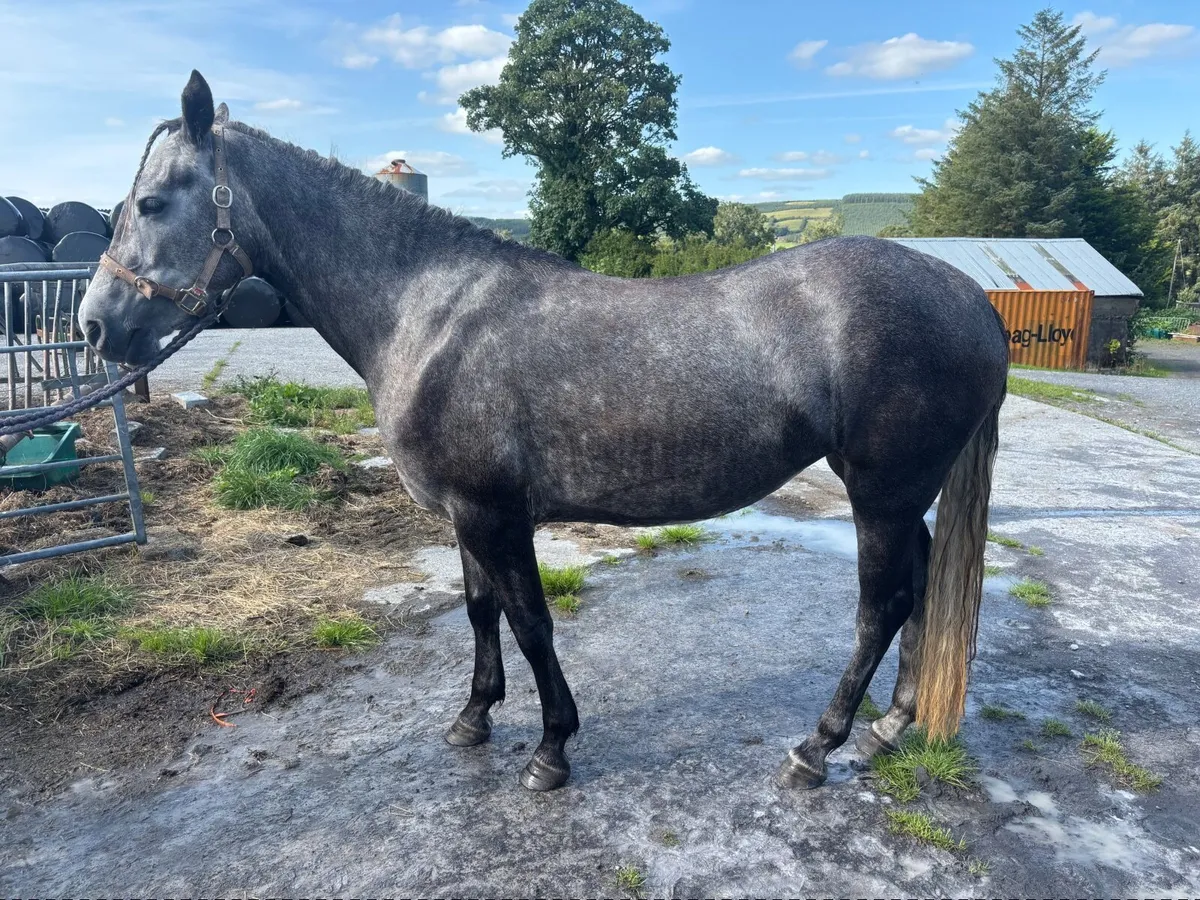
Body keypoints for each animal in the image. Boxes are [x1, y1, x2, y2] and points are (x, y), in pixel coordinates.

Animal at [79, 71, 1009, 792]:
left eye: (150, 202)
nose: (94, 326)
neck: (426, 312)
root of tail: (973, 298)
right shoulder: (465, 515)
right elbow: (479, 610)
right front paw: (473, 718)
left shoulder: (496, 514)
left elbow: (531, 624)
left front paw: (551, 750)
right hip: (894, 493)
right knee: (921, 585)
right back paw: (892, 725)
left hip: (881, 492)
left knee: (882, 606)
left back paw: (818, 747)